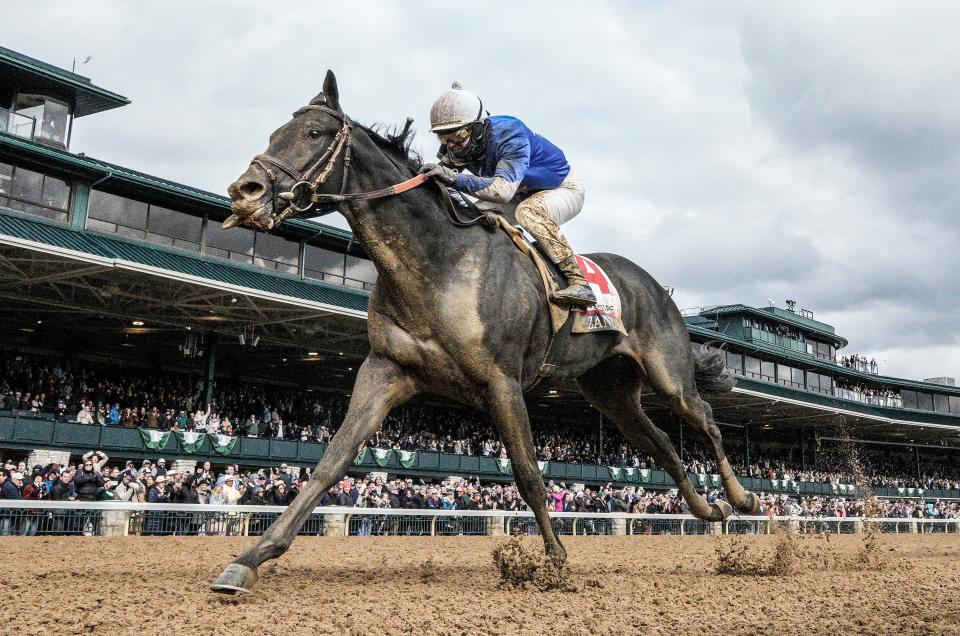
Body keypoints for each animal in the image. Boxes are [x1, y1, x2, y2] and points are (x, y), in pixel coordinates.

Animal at [210, 71, 756, 592]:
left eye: (315, 133)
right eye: (274, 133)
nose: (244, 191)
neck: (438, 261)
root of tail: (657, 287)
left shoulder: (502, 381)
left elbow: (529, 473)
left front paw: (554, 563)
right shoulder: (386, 369)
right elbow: (331, 462)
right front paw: (249, 559)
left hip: (669, 372)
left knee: (706, 420)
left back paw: (742, 497)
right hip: (610, 391)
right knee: (661, 442)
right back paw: (710, 509)